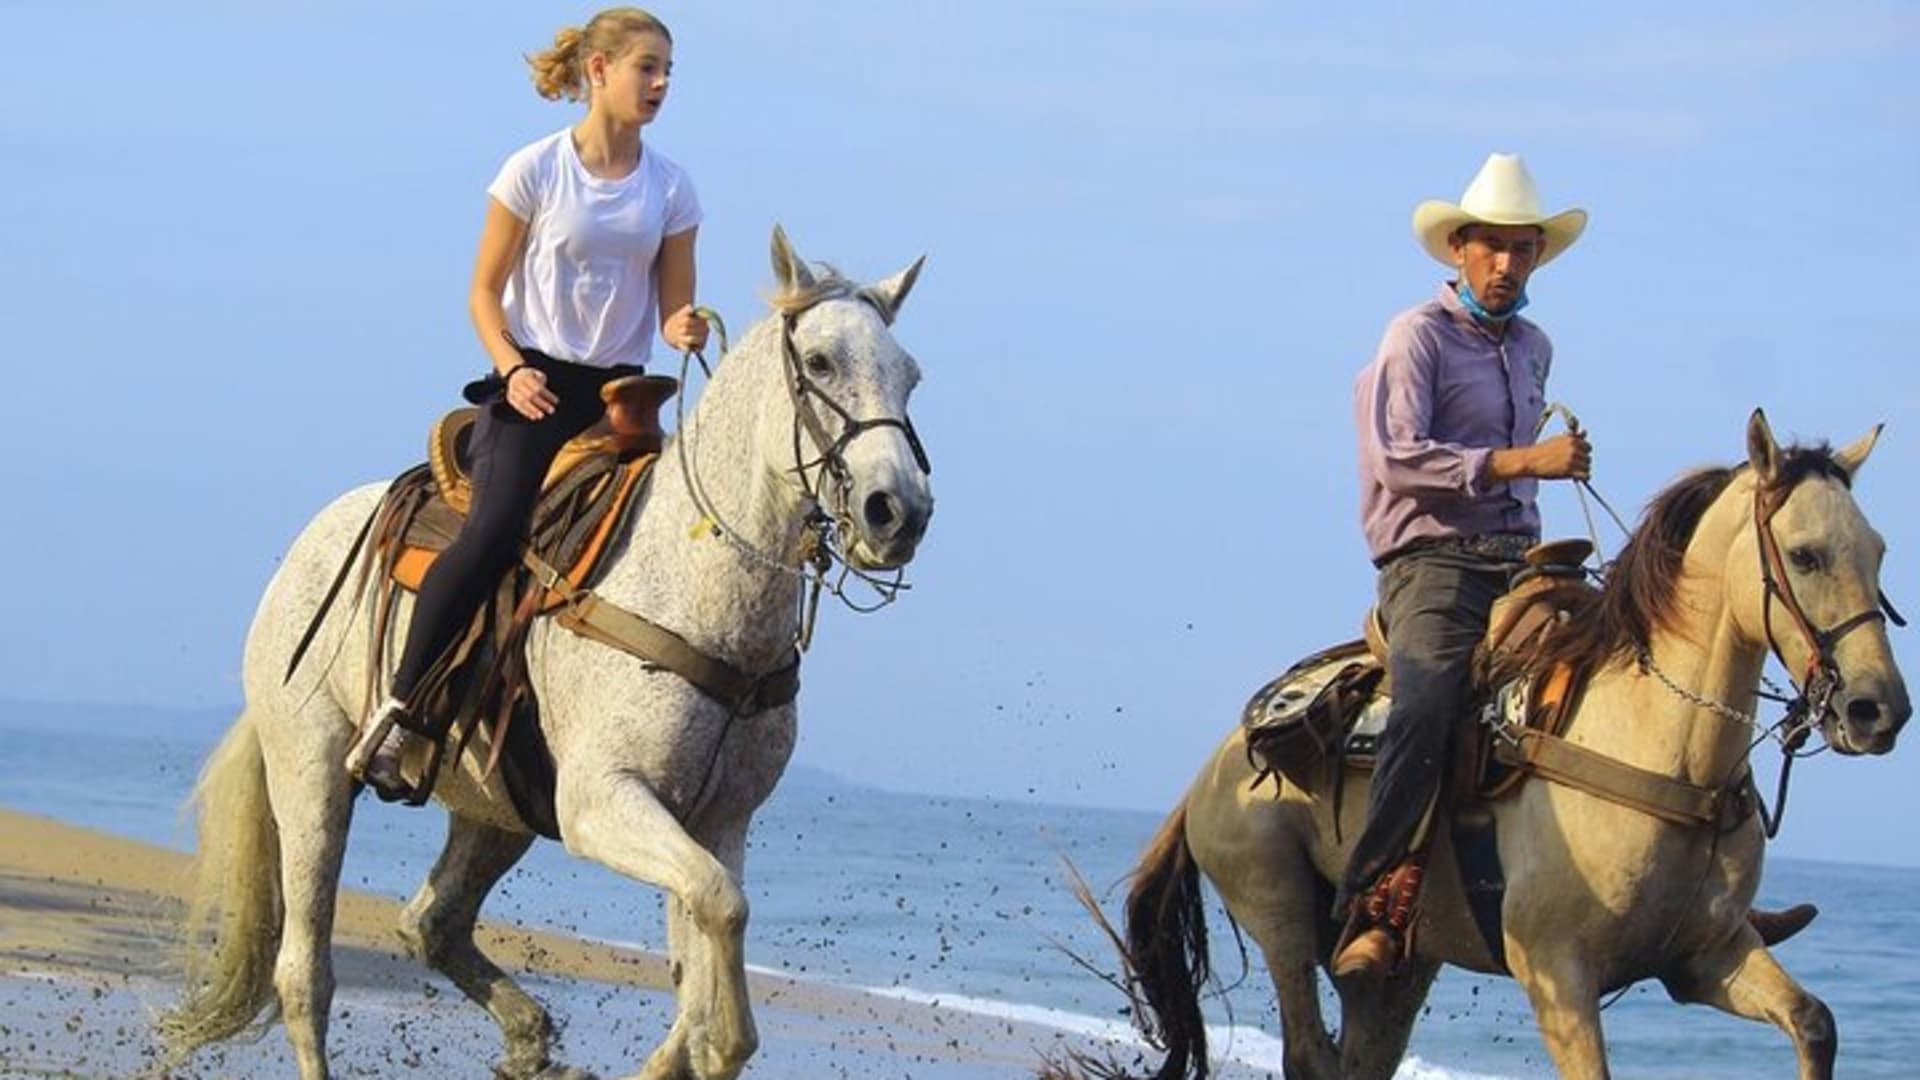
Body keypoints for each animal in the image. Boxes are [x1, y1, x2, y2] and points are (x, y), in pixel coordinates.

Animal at [157, 227, 934, 1080]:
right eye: (821, 362)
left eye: (910, 374)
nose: (899, 512)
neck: (695, 586)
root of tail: (302, 550)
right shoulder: (601, 801)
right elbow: (721, 925)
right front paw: (716, 1038)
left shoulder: (716, 821)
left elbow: (701, 950)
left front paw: (685, 1048)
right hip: (312, 770)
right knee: (305, 976)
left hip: (494, 806)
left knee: (432, 920)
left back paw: (530, 1042)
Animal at [1076, 411, 1908, 1080]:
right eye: (1803, 554)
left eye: (1878, 551)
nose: (1878, 711)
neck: (1664, 751)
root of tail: (1209, 771)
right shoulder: (1556, 975)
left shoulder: (1706, 955)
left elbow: (1814, 1024)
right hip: (1275, 905)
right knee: (1308, 1051)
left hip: (1394, 970)